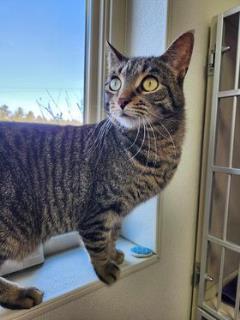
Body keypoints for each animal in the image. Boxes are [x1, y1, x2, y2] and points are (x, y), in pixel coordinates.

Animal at [0, 31, 193, 308]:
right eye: (114, 83)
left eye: (149, 83)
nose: (121, 100)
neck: (157, 144)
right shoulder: (98, 210)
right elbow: (98, 242)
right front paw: (105, 268)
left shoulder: (118, 211)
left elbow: (113, 234)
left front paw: (115, 254)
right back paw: (19, 294)